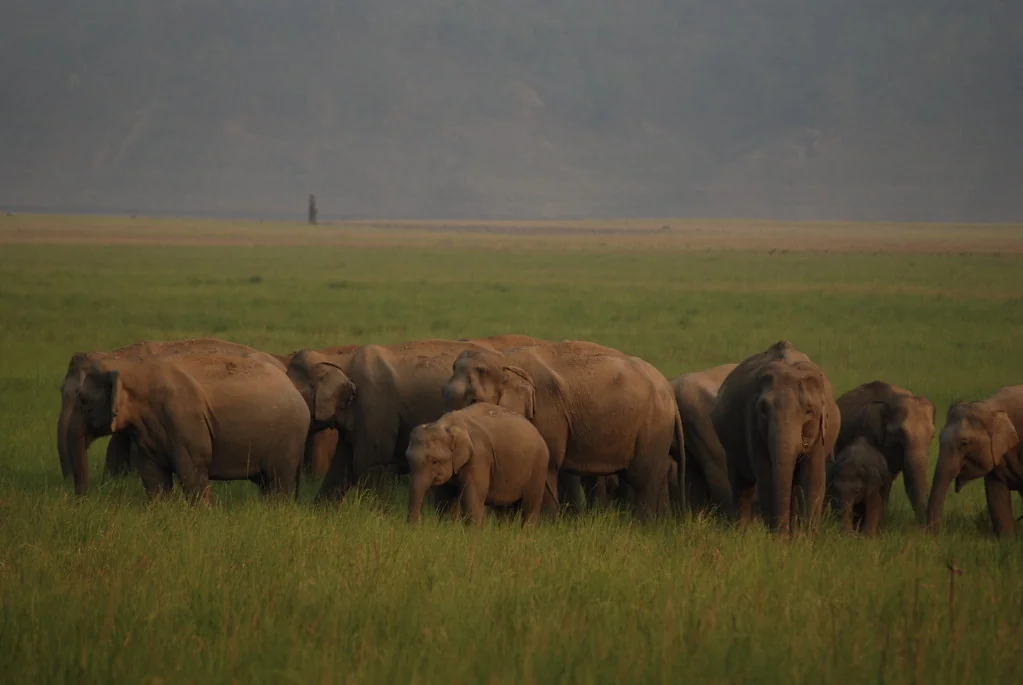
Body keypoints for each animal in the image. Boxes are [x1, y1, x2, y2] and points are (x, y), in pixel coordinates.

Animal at [68, 353, 309, 500]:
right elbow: (152, 474)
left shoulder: (184, 420)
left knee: (277, 482)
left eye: (83, 402)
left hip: (289, 438)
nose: (82, 501)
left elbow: (191, 469)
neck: (133, 370)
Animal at [405, 403, 555, 525]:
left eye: (435, 461)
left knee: (530, 505)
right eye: (408, 459)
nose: (419, 521)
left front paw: (472, 533)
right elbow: (445, 497)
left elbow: (474, 494)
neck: (449, 425)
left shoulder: (479, 455)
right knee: (504, 509)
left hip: (539, 465)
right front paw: (445, 527)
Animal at [442, 340, 685, 521]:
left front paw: (547, 525)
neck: (504, 359)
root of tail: (669, 391)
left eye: (474, 400)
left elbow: (548, 462)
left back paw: (643, 526)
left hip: (654, 425)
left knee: (643, 477)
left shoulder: (548, 410)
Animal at [711, 341, 840, 534]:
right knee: (742, 484)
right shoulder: (753, 424)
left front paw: (805, 538)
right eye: (764, 410)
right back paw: (740, 533)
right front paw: (779, 539)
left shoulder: (820, 432)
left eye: (809, 410)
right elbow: (766, 476)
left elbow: (813, 479)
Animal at [926, 385, 1023, 537]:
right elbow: (996, 495)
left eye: (964, 443)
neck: (991, 407)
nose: (933, 535)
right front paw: (1007, 540)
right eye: (938, 437)